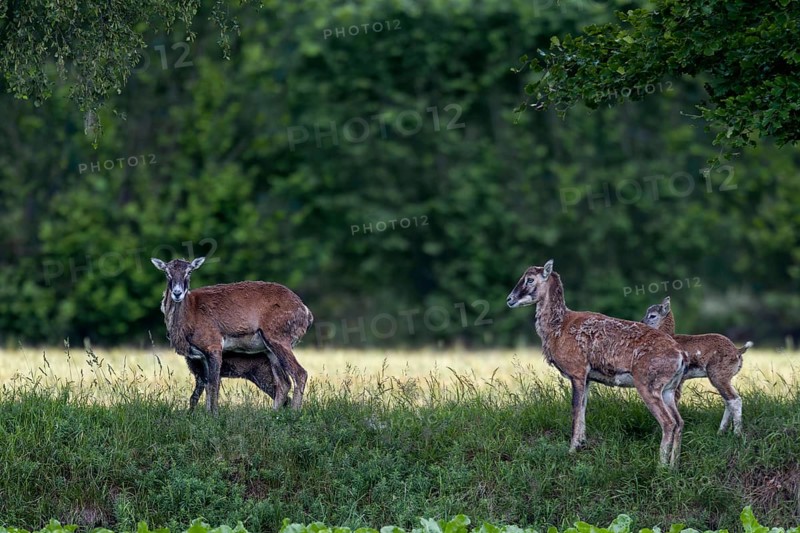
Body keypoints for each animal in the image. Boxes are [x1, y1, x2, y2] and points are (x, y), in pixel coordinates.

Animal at [507, 259, 688, 467]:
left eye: (529, 279)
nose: (509, 299)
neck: (558, 328)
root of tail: (681, 355)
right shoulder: (587, 378)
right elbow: (584, 407)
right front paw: (581, 443)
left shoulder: (577, 371)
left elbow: (575, 408)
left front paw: (572, 449)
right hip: (668, 389)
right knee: (679, 422)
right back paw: (674, 466)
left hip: (648, 384)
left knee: (669, 422)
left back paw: (661, 466)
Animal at [642, 296, 752, 435]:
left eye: (652, 315)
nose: (642, 322)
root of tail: (737, 351)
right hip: (724, 376)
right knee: (728, 401)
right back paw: (721, 432)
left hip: (718, 374)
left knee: (735, 399)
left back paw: (736, 433)